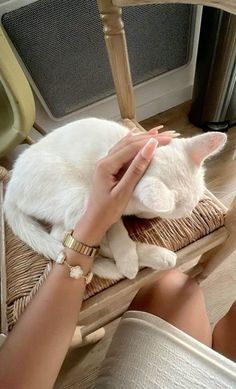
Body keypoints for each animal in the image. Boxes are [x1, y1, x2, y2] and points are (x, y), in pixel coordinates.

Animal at [3, 117, 225, 278]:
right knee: (64, 236)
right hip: (79, 194)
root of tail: (9, 190)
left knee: (64, 235)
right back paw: (152, 257)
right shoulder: (108, 200)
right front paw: (126, 255)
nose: (190, 212)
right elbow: (116, 227)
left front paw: (145, 215)